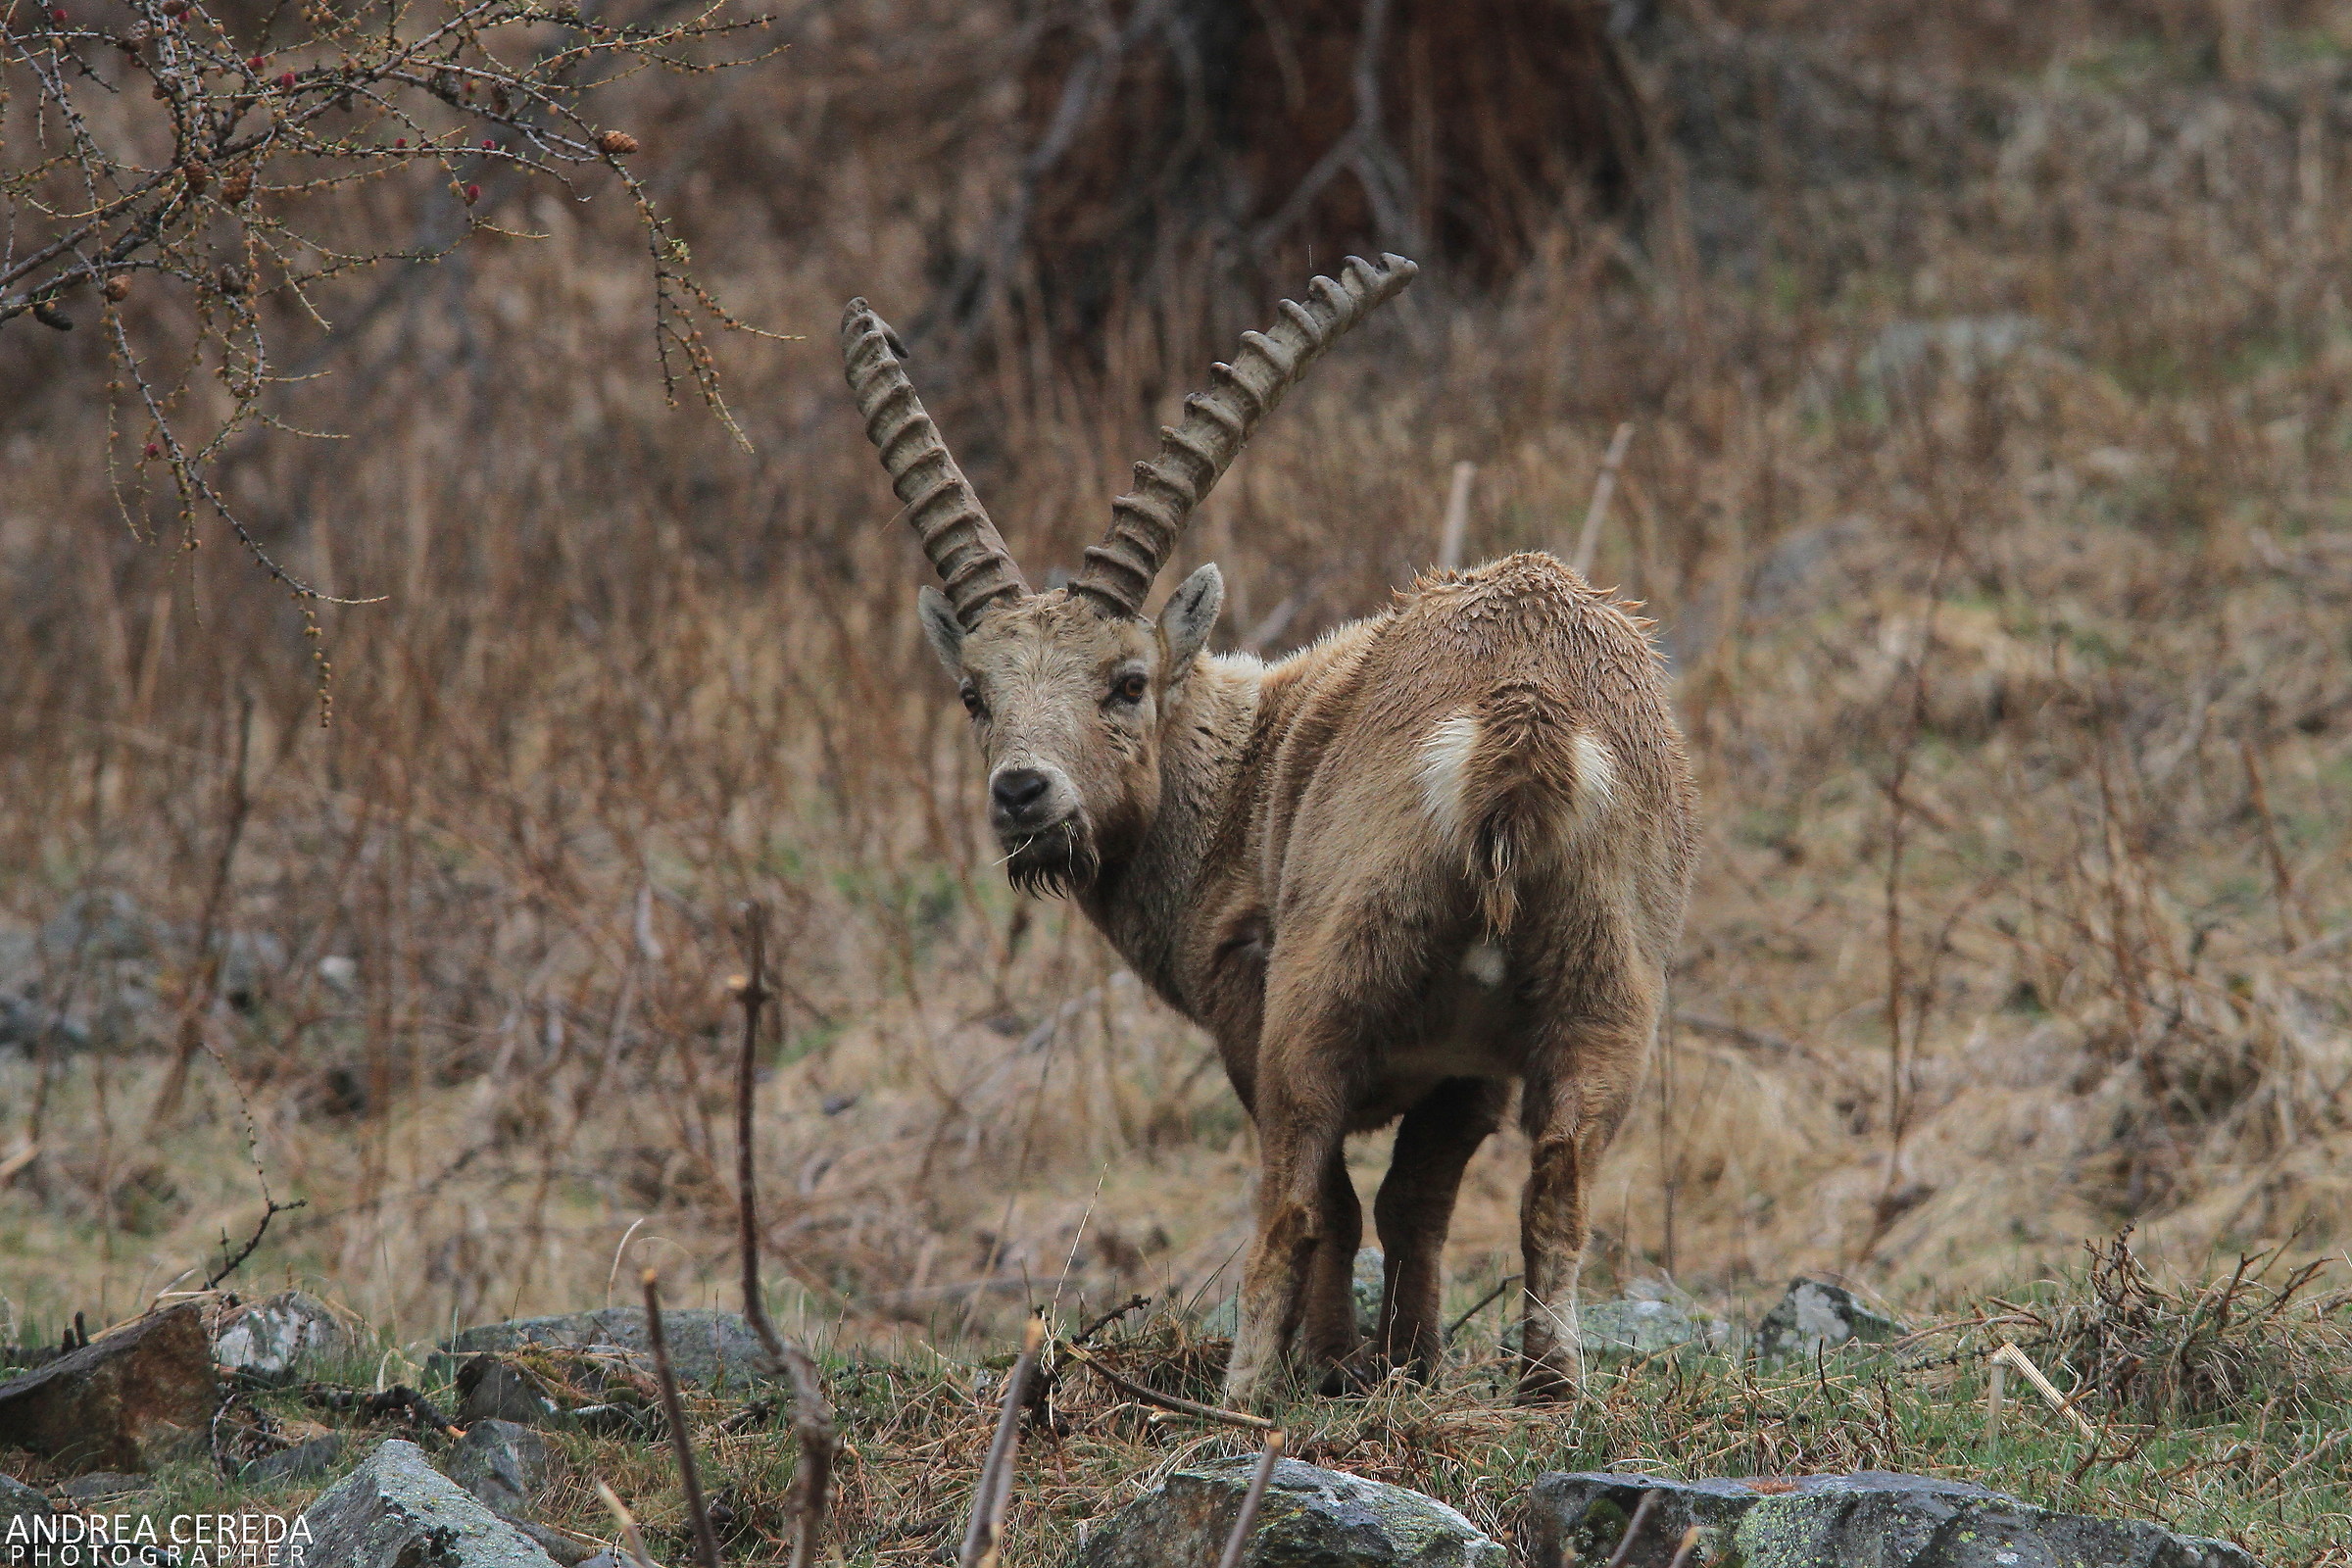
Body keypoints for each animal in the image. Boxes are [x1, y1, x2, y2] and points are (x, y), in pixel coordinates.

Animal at [841, 255, 1696, 1404]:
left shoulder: (1252, 1014)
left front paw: (1331, 1366)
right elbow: (1414, 1200)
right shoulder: (1469, 1067)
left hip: (1322, 986)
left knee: (1290, 1202)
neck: (1240, 770)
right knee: (1558, 1184)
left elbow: (1335, 1200)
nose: (1023, 792)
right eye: (974, 693)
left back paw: (1242, 1394)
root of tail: (1524, 722)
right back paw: (1551, 1387)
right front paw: (1402, 1363)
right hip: (1606, 989)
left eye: (1127, 681)